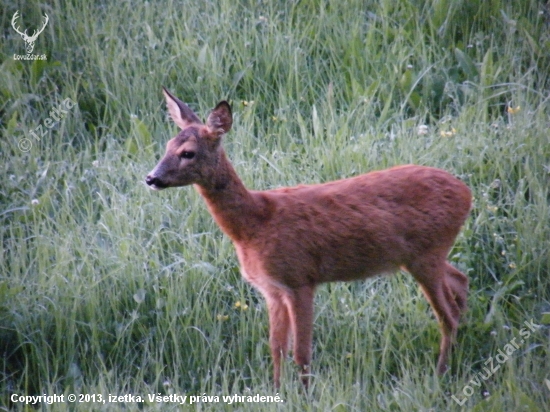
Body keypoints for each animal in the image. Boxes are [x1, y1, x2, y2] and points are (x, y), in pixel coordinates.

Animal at [147, 88, 474, 388]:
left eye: (187, 153)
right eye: (167, 145)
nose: (151, 178)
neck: (253, 224)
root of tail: (467, 193)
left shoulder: (299, 279)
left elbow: (301, 353)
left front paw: (304, 395)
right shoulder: (272, 289)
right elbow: (276, 348)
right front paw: (277, 392)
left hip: (426, 254)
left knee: (447, 315)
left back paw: (440, 375)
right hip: (424, 255)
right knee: (460, 281)